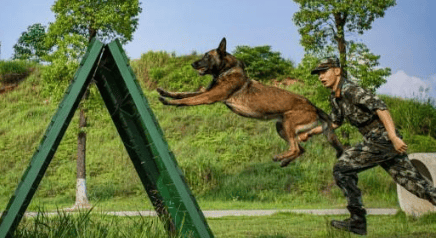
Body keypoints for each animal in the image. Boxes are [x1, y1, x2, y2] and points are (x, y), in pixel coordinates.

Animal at [158, 37, 344, 167]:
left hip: (288, 123)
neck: (226, 70)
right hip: (281, 126)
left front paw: (169, 102)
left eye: (207, 56)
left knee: (295, 148)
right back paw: (284, 161)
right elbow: (183, 93)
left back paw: (279, 157)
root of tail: (314, 107)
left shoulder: (208, 96)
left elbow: (188, 99)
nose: (192, 63)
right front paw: (165, 93)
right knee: (300, 149)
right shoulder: (205, 92)